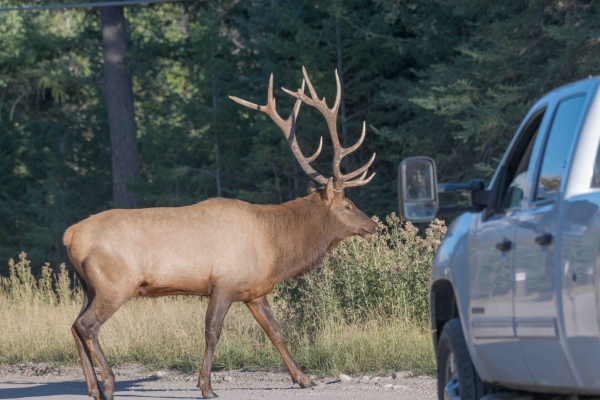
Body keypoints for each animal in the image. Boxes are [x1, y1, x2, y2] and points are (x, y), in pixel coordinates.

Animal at [64, 67, 376, 398]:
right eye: (348, 205)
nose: (373, 225)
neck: (275, 249)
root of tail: (70, 235)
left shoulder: (254, 291)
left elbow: (275, 332)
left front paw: (304, 378)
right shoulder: (223, 283)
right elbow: (212, 333)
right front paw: (206, 386)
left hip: (90, 286)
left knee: (74, 325)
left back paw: (93, 388)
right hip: (115, 284)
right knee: (87, 326)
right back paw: (108, 384)